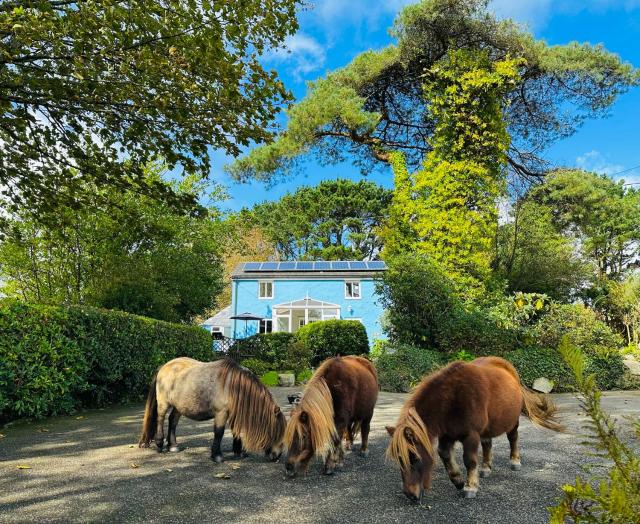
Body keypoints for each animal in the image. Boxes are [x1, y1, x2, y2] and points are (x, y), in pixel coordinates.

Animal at [139, 356, 286, 462]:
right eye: (277, 432)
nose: (276, 456)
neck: (233, 386)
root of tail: (164, 366)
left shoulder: (233, 414)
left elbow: (236, 431)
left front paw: (239, 452)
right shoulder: (221, 413)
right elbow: (219, 433)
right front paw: (216, 455)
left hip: (179, 406)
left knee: (172, 421)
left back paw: (173, 446)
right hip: (163, 403)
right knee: (160, 419)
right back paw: (159, 444)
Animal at [384, 358, 560, 502]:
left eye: (414, 458)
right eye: (399, 459)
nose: (410, 495)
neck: (453, 399)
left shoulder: (471, 435)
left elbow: (469, 460)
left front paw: (470, 487)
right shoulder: (447, 435)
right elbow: (444, 454)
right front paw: (458, 481)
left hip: (512, 421)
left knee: (513, 438)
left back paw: (515, 461)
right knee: (487, 444)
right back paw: (485, 468)